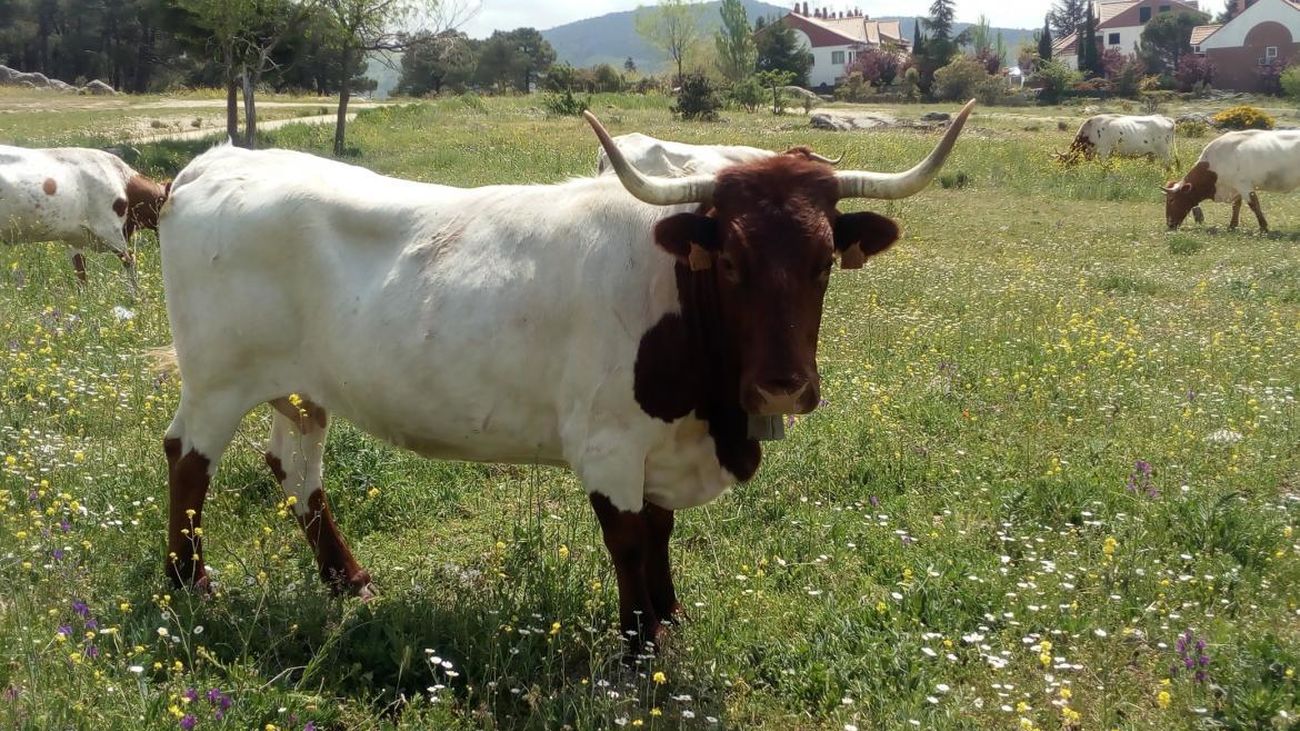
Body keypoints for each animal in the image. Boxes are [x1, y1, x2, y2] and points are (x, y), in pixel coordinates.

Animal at [154, 100, 977, 647]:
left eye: (822, 261)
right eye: (732, 262)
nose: (783, 385)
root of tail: (218, 160)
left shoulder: (660, 446)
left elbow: (662, 530)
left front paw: (670, 618)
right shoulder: (608, 445)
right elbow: (631, 540)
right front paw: (639, 644)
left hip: (301, 387)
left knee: (295, 467)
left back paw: (347, 579)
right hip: (216, 380)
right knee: (188, 457)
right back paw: (190, 581)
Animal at [1164, 128, 1300, 230]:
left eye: (1171, 199)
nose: (1169, 224)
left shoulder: (1244, 185)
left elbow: (1254, 205)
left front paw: (1263, 227)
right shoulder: (1235, 188)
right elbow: (1236, 206)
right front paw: (1232, 226)